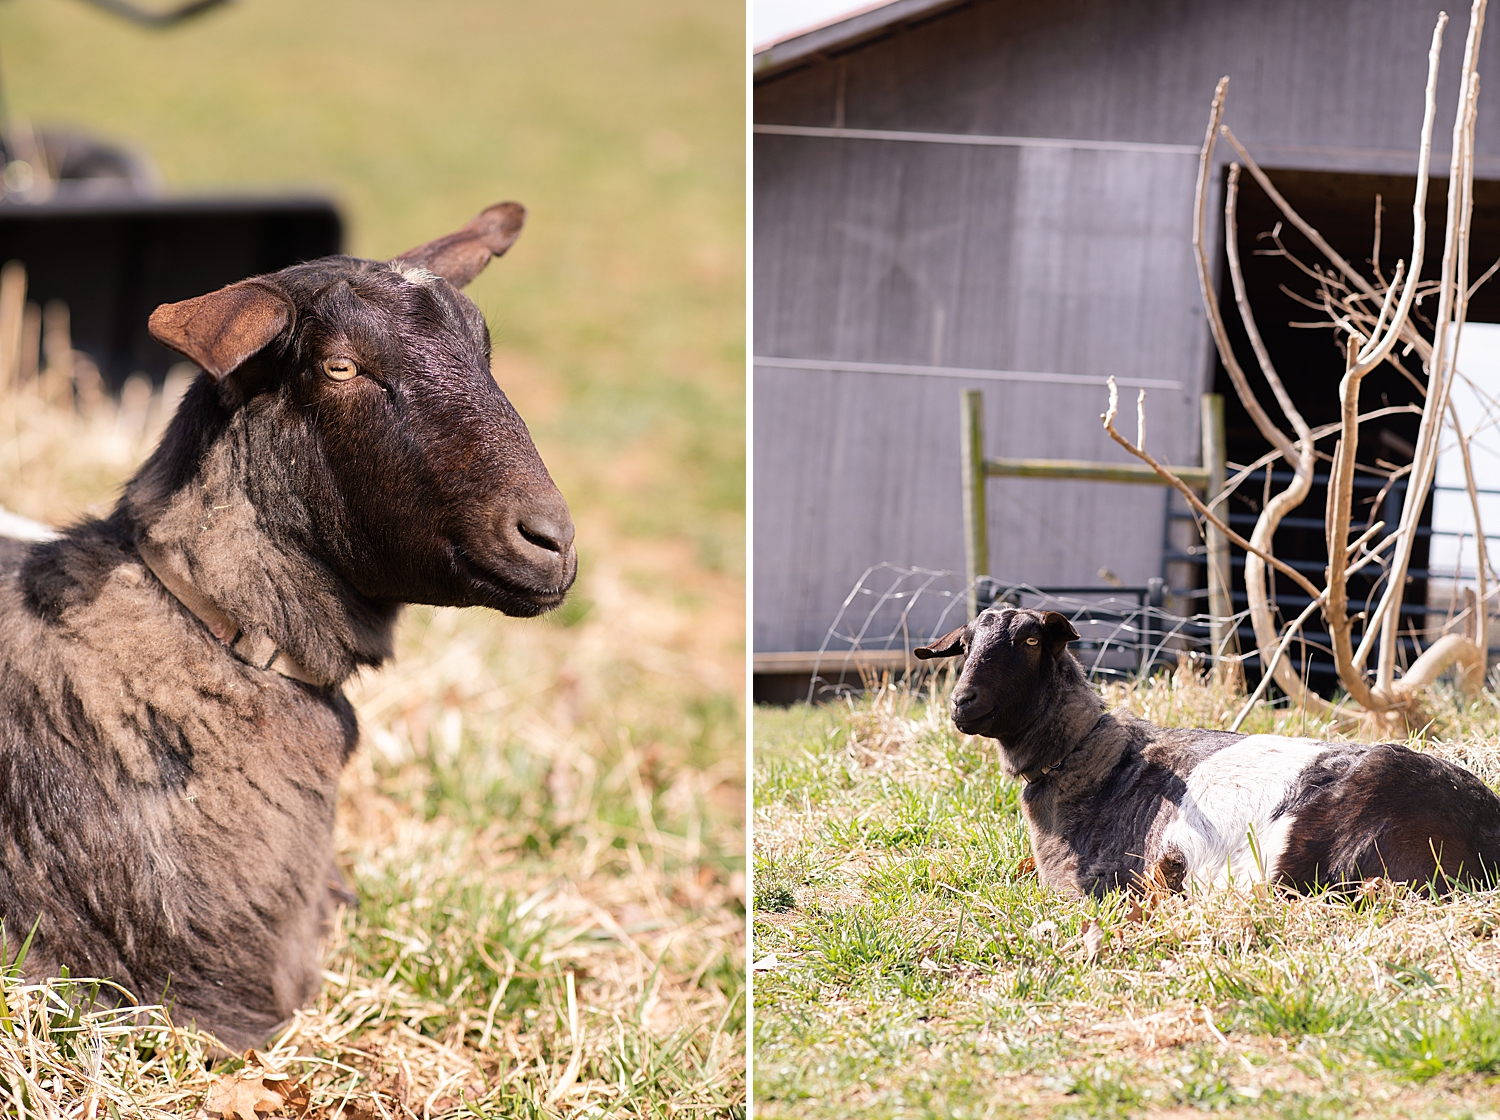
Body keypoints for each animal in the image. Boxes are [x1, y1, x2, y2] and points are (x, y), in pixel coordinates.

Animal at [906, 608, 1500, 899]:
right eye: (965, 645)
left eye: (1031, 642)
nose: (962, 703)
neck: (1091, 754)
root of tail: (1480, 829)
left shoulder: (1084, 885)